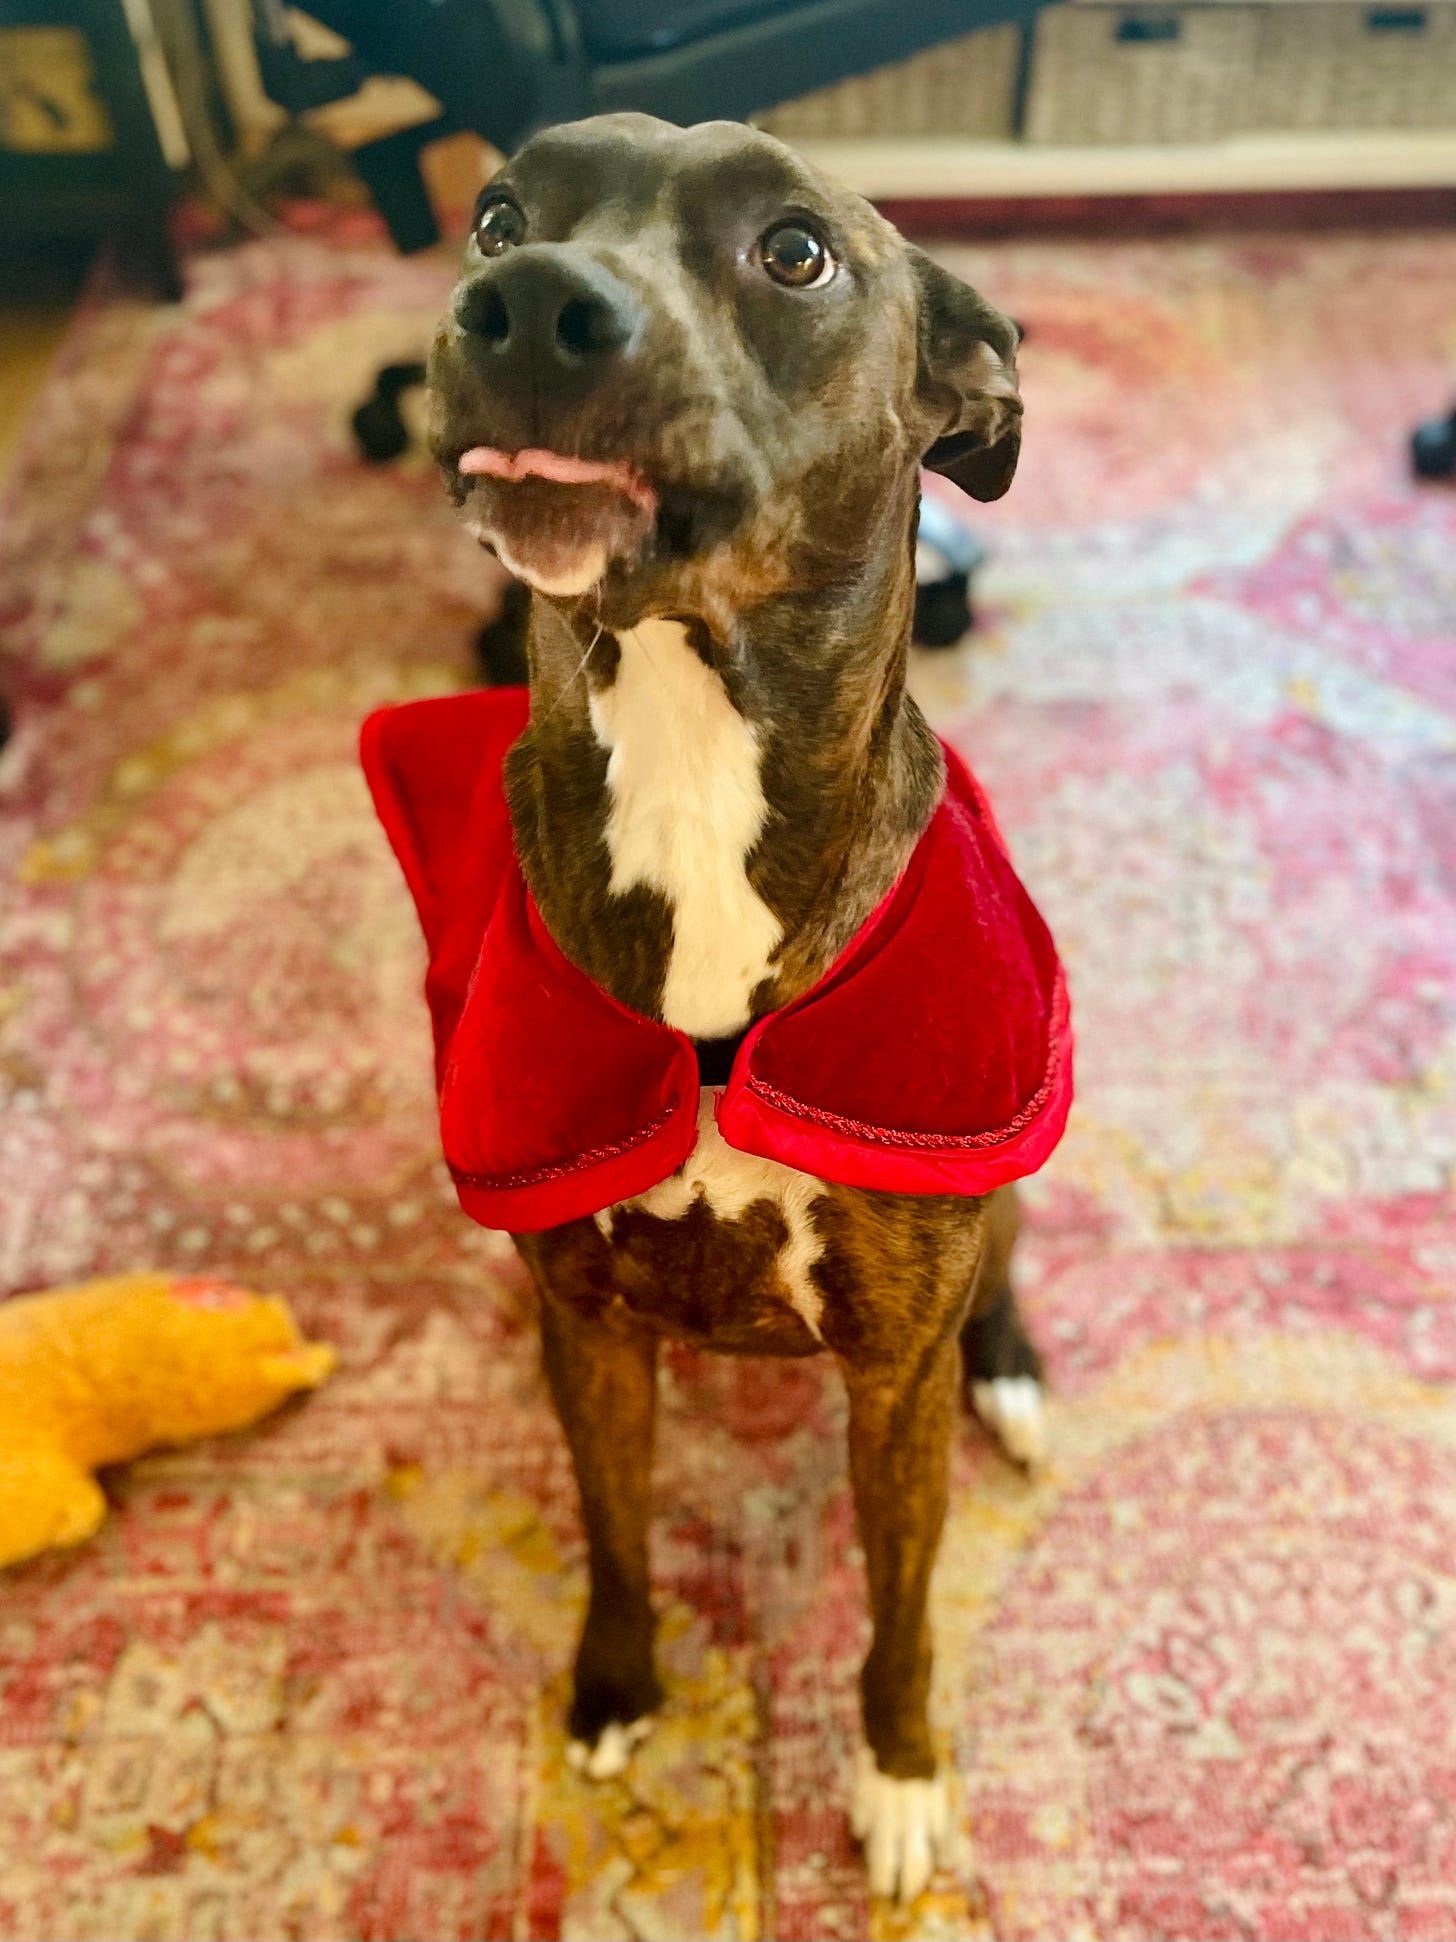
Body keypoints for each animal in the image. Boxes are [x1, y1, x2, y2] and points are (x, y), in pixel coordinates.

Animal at [430, 113, 1048, 1903]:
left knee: (1004, 1282)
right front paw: (616, 1688)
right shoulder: (587, 1330)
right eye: (499, 214)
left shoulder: (893, 1377)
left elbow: (903, 1611)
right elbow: (615, 1530)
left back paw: (1019, 1377)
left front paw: (900, 1778)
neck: (695, 754)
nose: (524, 304)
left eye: (795, 252)